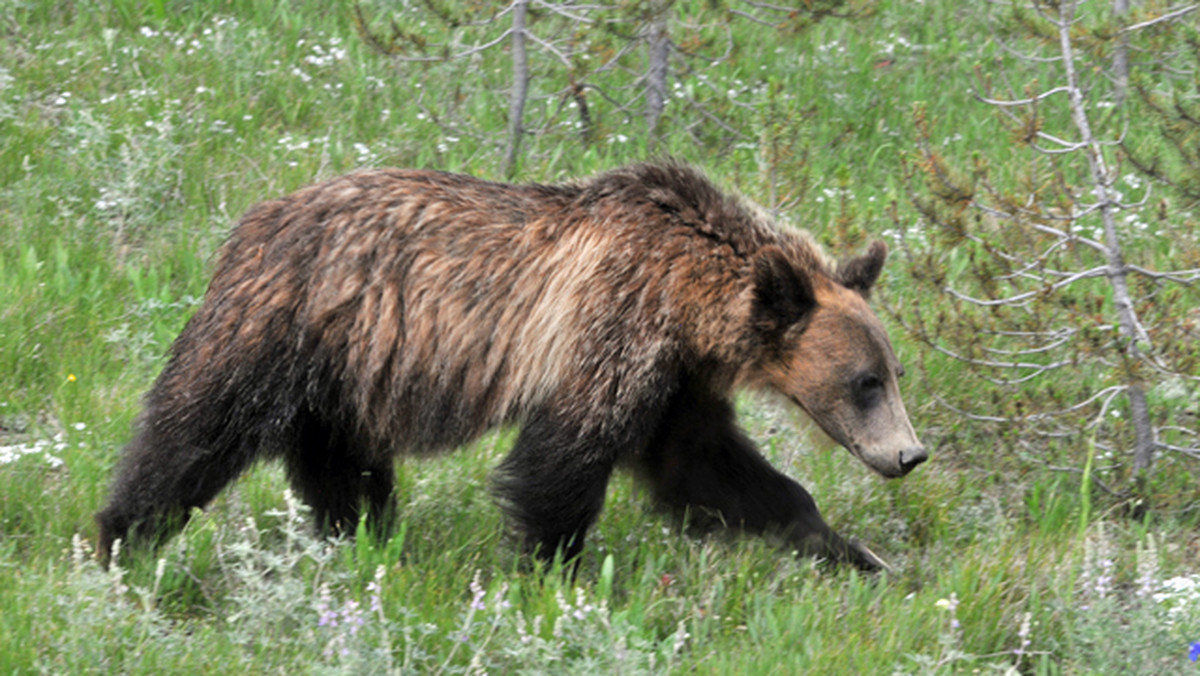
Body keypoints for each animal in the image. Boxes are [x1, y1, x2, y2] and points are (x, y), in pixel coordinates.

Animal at [100, 160, 926, 569]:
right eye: (865, 382)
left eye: (892, 373)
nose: (910, 454)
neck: (687, 296)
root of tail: (253, 220)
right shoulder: (609, 330)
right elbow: (559, 465)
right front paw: (551, 575)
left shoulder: (675, 384)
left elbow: (713, 469)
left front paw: (854, 553)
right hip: (284, 325)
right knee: (195, 431)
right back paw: (121, 539)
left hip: (345, 373)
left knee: (342, 463)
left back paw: (365, 539)